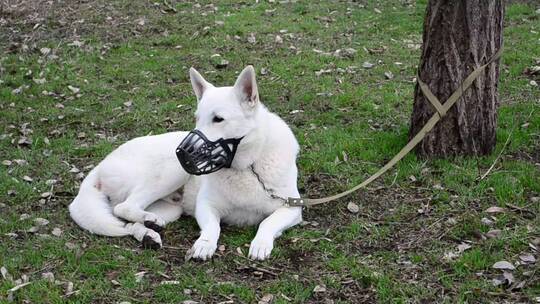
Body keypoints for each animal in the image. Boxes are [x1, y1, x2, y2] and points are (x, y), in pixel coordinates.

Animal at [69, 65, 302, 260]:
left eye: (218, 119)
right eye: (197, 118)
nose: (182, 152)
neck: (248, 166)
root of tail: (100, 165)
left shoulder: (292, 208)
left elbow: (267, 222)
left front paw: (260, 244)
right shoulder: (206, 205)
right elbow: (212, 228)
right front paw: (204, 244)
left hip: (171, 207)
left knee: (125, 220)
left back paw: (148, 232)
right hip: (172, 171)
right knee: (124, 208)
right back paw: (148, 222)